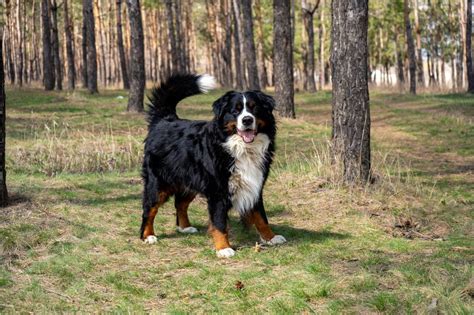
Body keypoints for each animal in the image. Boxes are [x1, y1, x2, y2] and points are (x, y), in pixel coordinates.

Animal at [139, 74, 286, 260]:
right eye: (236, 110)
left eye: (255, 109)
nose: (247, 120)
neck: (240, 148)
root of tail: (165, 120)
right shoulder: (218, 192)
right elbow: (219, 222)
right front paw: (223, 248)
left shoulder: (255, 185)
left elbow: (261, 217)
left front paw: (271, 237)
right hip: (158, 184)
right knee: (149, 210)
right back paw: (148, 236)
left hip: (191, 181)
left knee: (180, 203)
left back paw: (185, 227)